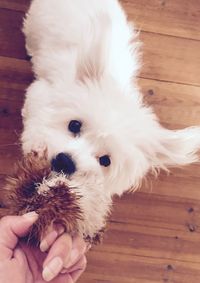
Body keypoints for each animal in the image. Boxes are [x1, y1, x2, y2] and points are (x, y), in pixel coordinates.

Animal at [20, 0, 200, 240]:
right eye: (74, 125)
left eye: (105, 160)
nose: (65, 162)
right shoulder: (39, 94)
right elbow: (34, 121)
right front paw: (36, 146)